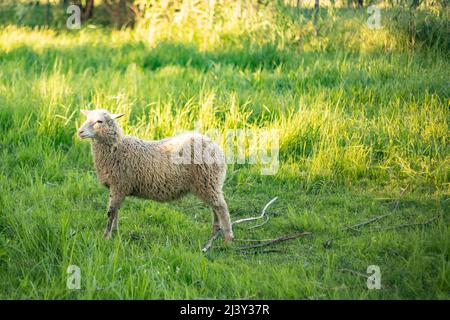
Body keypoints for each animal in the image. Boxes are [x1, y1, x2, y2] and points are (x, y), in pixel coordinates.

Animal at [78, 110, 234, 242]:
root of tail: (216, 146)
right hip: (208, 184)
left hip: (209, 181)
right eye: (86, 118)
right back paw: (215, 232)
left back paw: (228, 238)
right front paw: (115, 232)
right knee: (215, 207)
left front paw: (106, 237)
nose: (80, 132)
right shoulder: (117, 188)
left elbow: (110, 213)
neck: (117, 148)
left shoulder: (119, 185)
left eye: (99, 121)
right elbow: (116, 211)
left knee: (221, 208)